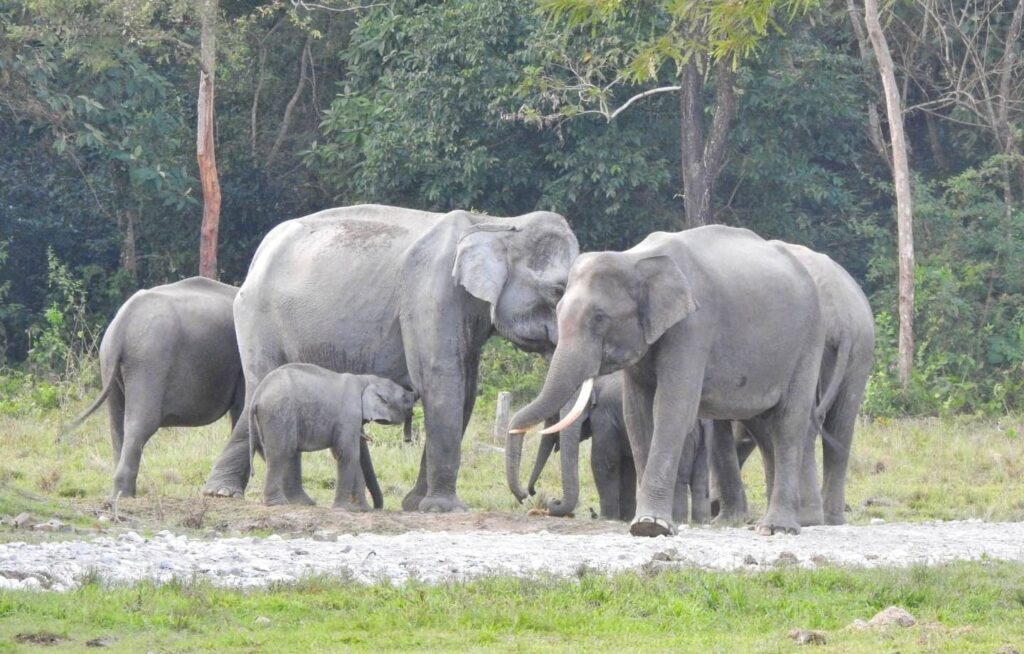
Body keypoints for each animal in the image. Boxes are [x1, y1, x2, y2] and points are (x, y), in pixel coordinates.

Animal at [63, 276, 244, 498]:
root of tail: (121, 326)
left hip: (109, 363)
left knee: (117, 424)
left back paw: (121, 493)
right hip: (149, 361)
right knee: (140, 425)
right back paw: (124, 495)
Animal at [248, 364, 416, 509]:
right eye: (404, 398)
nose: (376, 508)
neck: (367, 379)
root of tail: (257, 395)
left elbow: (347, 455)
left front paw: (360, 510)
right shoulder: (349, 414)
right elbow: (348, 454)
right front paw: (344, 508)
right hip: (278, 413)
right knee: (281, 453)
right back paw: (278, 504)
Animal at [512, 372, 710, 523]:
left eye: (555, 417)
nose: (530, 492)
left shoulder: (604, 416)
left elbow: (603, 462)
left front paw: (608, 518)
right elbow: (627, 466)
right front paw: (625, 518)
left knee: (680, 476)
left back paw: (677, 520)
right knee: (700, 478)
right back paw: (699, 522)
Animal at [710, 243, 874, 526]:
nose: (711, 506)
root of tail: (843, 316)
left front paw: (724, 518)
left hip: (815, 348)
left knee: (808, 423)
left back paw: (807, 518)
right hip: (860, 351)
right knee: (841, 425)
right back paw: (831, 519)